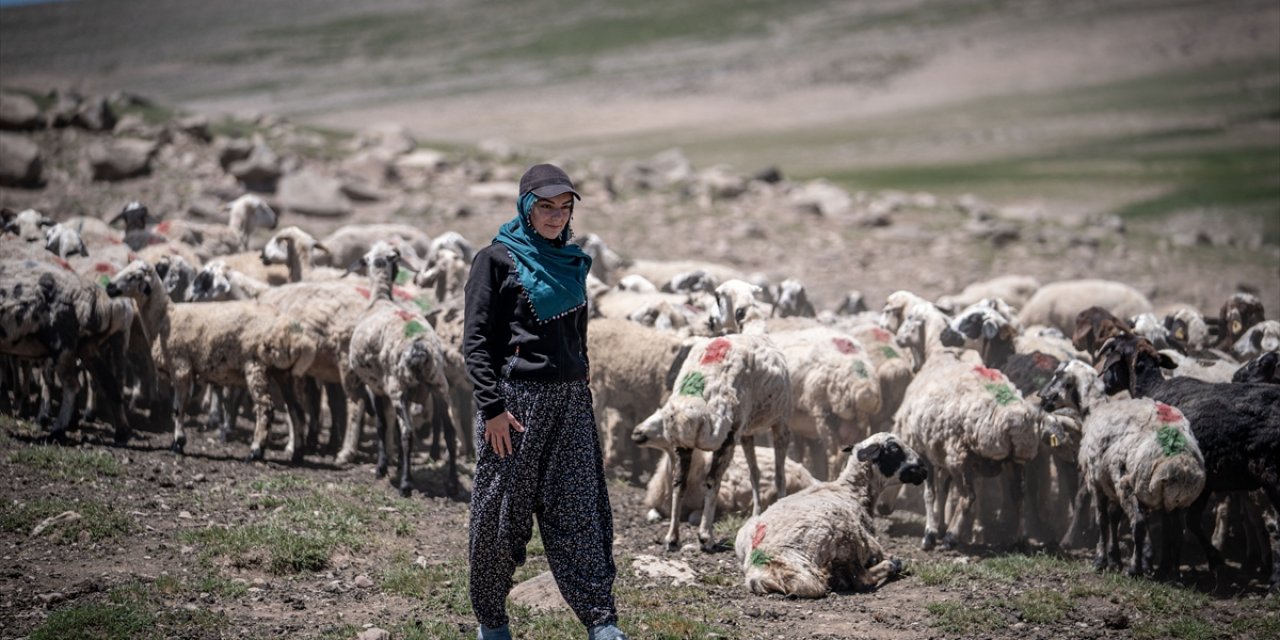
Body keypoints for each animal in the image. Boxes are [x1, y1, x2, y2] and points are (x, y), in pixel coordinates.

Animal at [732, 432, 931, 596]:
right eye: (894, 449)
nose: (923, 469)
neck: (851, 491)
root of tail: (764, 566)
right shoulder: (870, 543)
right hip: (846, 533)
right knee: (861, 579)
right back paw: (892, 566)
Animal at [1034, 360, 1203, 581]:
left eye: (1057, 374)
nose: (1041, 396)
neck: (1094, 409)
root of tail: (1179, 459)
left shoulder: (1096, 481)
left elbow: (1102, 520)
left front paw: (1101, 560)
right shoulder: (1110, 483)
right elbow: (1114, 517)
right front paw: (1116, 559)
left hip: (1129, 483)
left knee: (1138, 524)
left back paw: (1134, 569)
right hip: (1176, 500)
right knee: (1176, 533)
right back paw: (1171, 574)